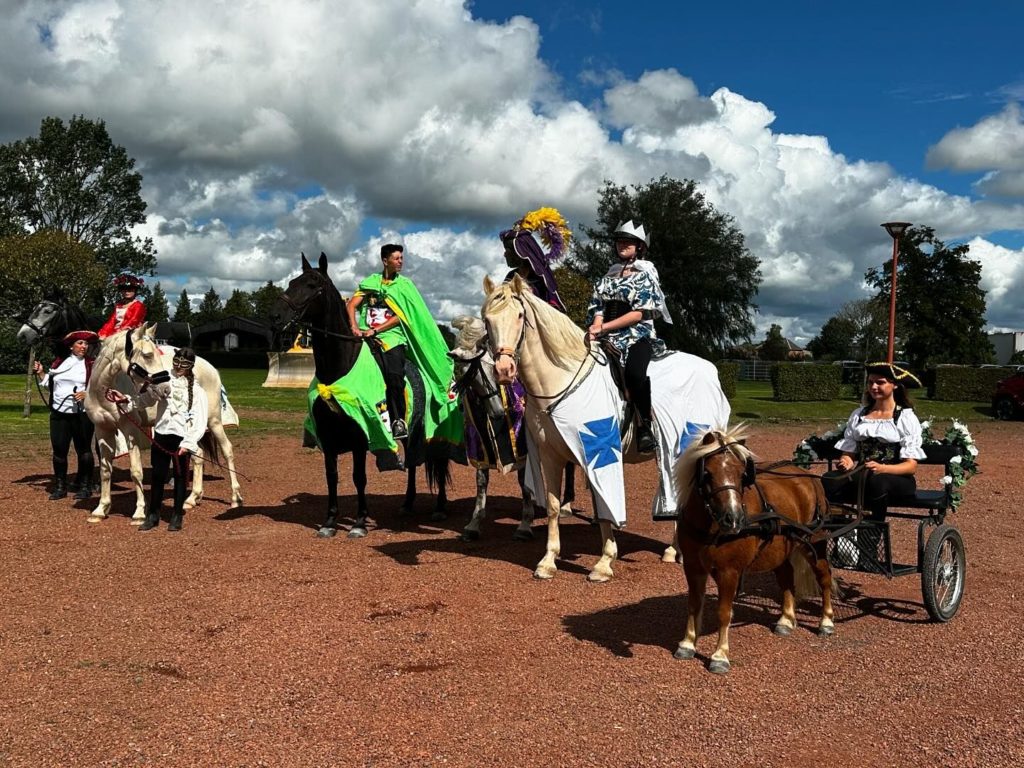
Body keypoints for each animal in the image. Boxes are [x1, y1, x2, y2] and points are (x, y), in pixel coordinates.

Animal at [84, 321, 243, 528]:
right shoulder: (103, 431)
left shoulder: (130, 431)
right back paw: (192, 498)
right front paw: (100, 510)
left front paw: (139, 513)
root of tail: (211, 368)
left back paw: (235, 498)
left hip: (214, 421)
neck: (103, 392)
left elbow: (136, 472)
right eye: (147, 355)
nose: (166, 388)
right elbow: (105, 470)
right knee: (198, 455)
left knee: (227, 451)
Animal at [270, 252, 454, 540]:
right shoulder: (328, 438)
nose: (275, 316)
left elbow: (359, 478)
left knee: (438, 458)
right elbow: (332, 477)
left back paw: (440, 507)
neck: (338, 370)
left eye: (312, 285)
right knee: (414, 462)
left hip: (433, 428)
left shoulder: (362, 433)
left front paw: (358, 522)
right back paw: (407, 503)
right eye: (292, 282)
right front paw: (329, 521)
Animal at [448, 315, 577, 544]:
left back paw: (566, 506)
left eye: (491, 367)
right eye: (468, 376)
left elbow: (523, 483)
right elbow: (481, 482)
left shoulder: (522, 446)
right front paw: (474, 524)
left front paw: (525, 525)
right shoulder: (480, 445)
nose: (498, 411)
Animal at [483, 274, 733, 581]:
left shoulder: (595, 455)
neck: (561, 380)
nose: (504, 370)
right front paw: (547, 561)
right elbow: (553, 507)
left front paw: (603, 563)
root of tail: (710, 369)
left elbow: (603, 508)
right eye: (487, 320)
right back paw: (674, 550)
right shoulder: (551, 455)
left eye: (519, 316)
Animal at [675, 430, 835, 675]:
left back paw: (826, 621)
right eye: (707, 473)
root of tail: (808, 477)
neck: (711, 527)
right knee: (786, 577)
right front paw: (688, 643)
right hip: (780, 548)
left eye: (743, 474)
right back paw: (786, 619)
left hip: (814, 543)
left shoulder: (729, 571)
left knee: (824, 577)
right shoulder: (693, 567)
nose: (733, 519)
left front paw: (720, 655)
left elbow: (724, 612)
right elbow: (694, 604)